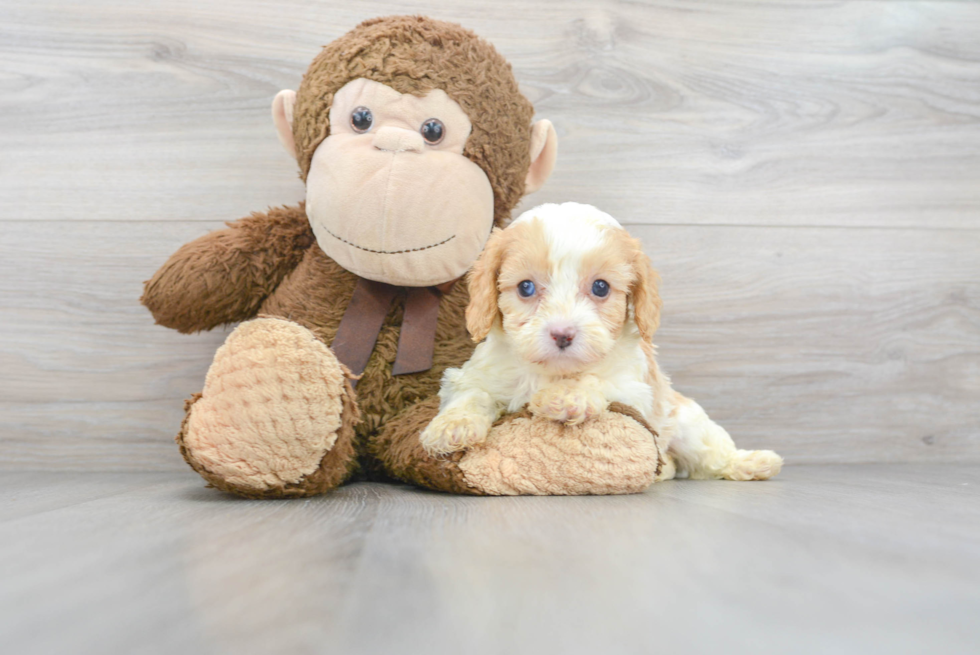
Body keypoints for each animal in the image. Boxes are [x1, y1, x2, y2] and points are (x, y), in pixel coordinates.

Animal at [420, 201, 780, 482]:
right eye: (525, 287)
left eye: (601, 287)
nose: (562, 333)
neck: (553, 371)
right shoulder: (474, 375)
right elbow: (472, 394)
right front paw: (453, 426)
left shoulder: (634, 389)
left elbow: (598, 380)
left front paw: (568, 396)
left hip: (688, 425)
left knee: (710, 456)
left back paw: (753, 463)